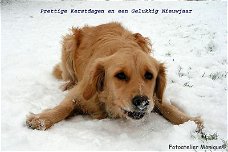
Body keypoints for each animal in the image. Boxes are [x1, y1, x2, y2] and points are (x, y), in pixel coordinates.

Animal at [25, 22, 202, 130]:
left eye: (149, 75)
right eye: (120, 75)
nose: (142, 102)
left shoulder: (153, 96)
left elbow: (166, 106)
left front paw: (189, 120)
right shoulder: (80, 92)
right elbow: (65, 106)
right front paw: (42, 119)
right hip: (68, 44)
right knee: (69, 76)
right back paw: (68, 83)